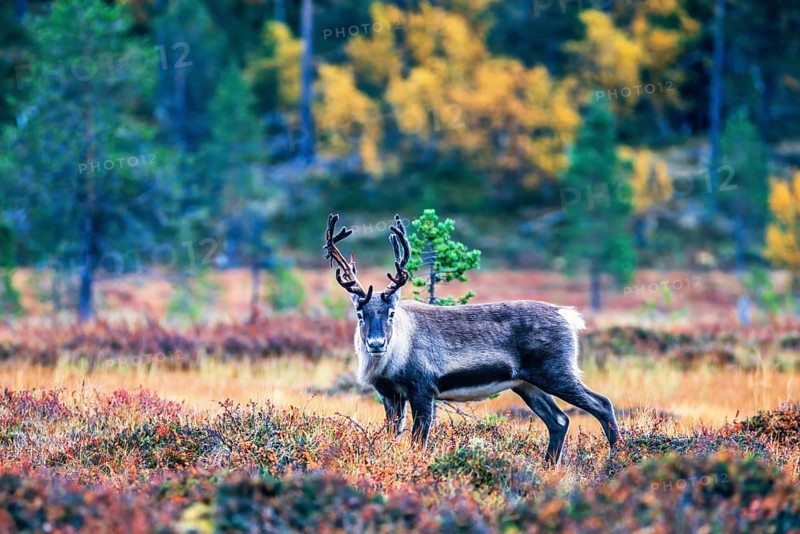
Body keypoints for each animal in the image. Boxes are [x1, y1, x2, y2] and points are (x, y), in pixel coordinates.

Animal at [324, 213, 620, 465]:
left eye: (391, 313)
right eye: (360, 313)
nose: (376, 344)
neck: (393, 360)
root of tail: (566, 314)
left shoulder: (423, 389)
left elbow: (418, 441)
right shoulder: (390, 394)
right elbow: (391, 436)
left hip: (556, 372)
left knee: (602, 404)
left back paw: (616, 459)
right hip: (527, 384)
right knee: (559, 420)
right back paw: (548, 467)